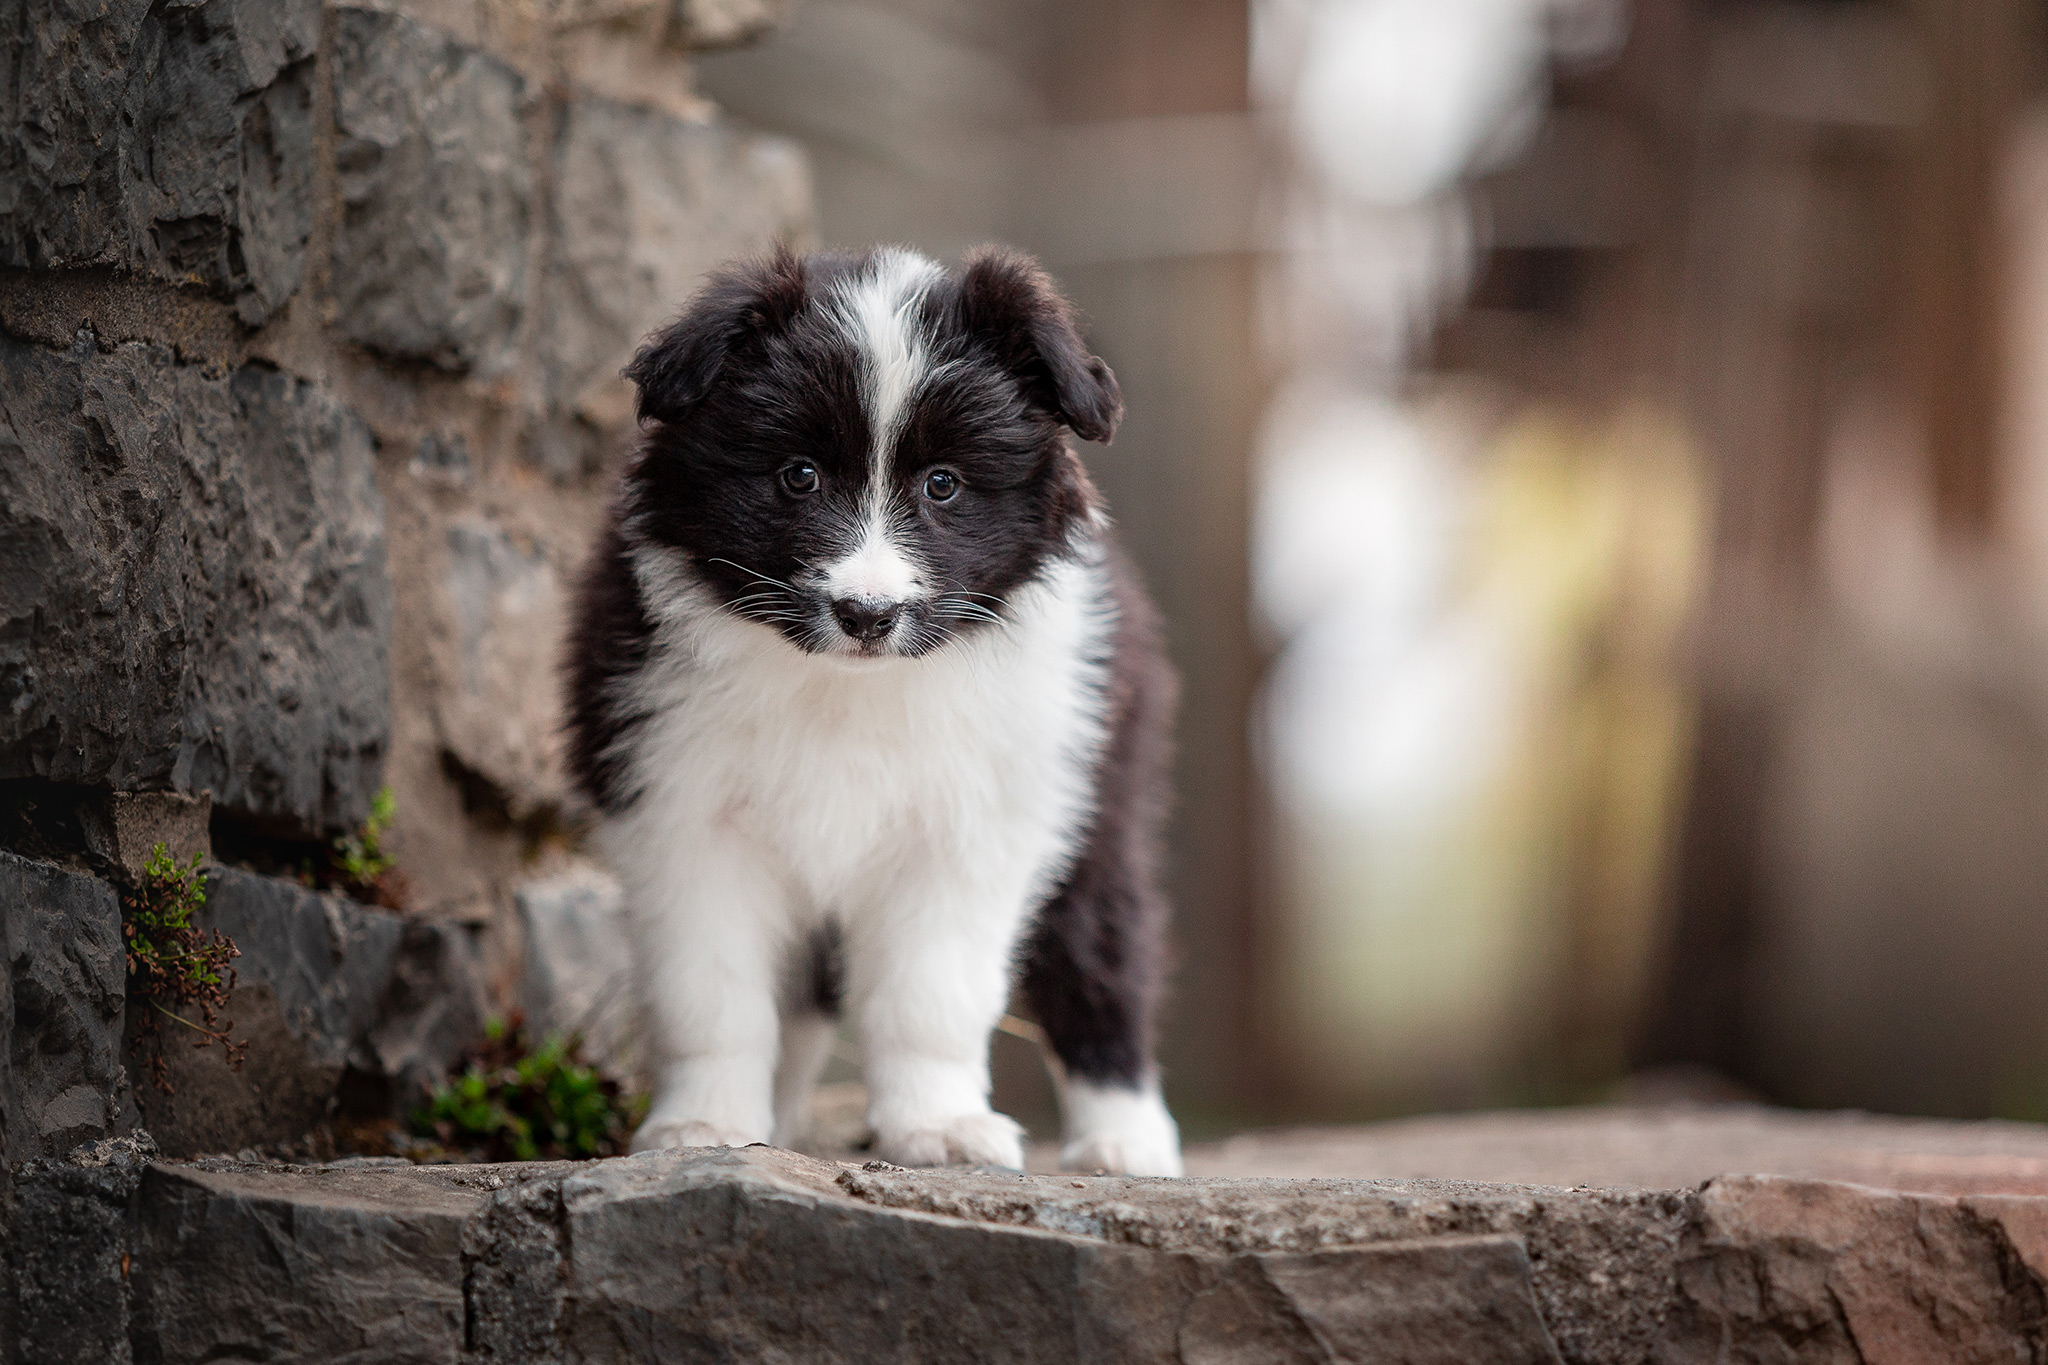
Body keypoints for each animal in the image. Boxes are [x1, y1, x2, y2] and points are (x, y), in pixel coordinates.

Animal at [569, 242, 1187, 1178]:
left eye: (944, 484)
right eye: (799, 474)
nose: (867, 613)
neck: (846, 684)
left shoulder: (971, 825)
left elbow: (929, 993)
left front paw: (940, 1127)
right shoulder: (682, 811)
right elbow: (710, 993)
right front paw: (705, 1124)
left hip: (1097, 798)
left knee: (1101, 951)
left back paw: (1123, 1138)